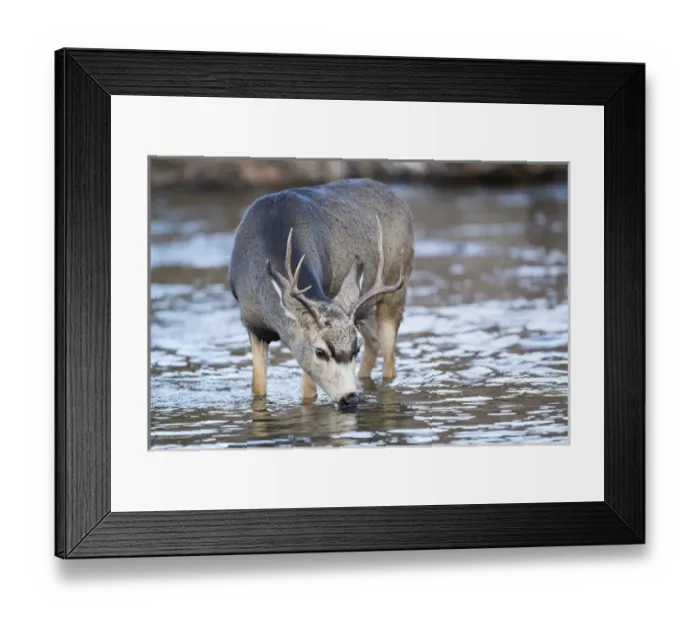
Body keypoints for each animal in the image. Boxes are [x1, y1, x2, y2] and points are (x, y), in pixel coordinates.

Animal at [228, 178, 415, 408]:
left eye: (355, 350)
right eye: (320, 351)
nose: (350, 398)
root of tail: (398, 200)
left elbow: (308, 394)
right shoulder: (253, 326)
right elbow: (257, 389)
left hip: (395, 294)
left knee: (389, 362)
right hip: (361, 310)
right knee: (373, 342)